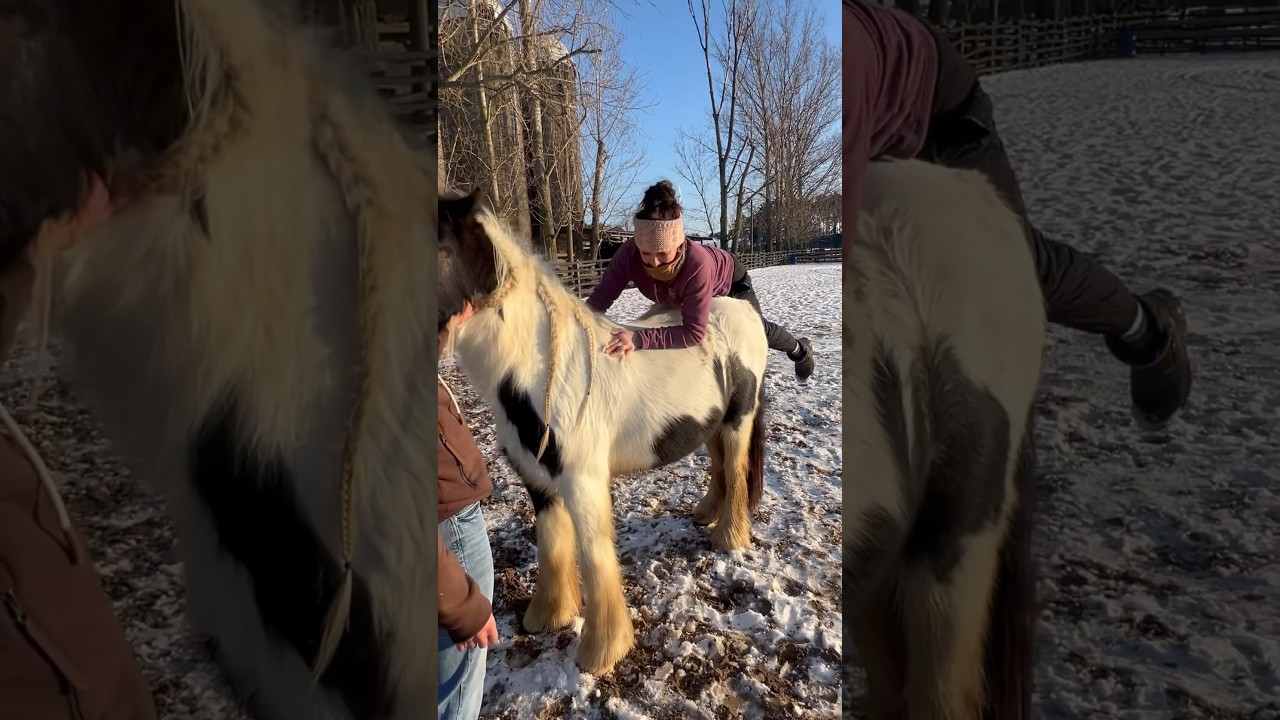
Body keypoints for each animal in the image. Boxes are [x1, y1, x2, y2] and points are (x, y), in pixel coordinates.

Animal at [438, 188, 770, 676]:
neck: (544, 373)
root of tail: (742, 309)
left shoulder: (583, 482)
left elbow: (594, 557)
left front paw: (602, 650)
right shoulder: (538, 480)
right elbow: (551, 545)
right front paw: (548, 616)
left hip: (737, 418)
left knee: (738, 463)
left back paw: (728, 536)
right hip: (709, 422)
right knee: (720, 464)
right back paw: (707, 513)